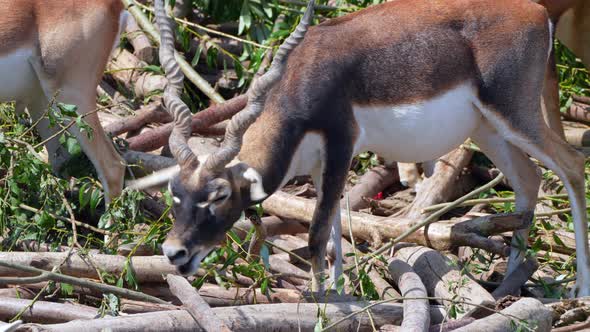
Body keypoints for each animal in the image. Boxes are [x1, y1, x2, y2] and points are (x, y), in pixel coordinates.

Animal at [141, 0, 590, 294]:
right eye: (174, 194)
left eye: (218, 196)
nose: (174, 252)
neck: (301, 78)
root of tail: (535, 10)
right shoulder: (321, 164)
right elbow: (336, 229)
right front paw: (341, 296)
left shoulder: (340, 144)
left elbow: (317, 233)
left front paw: (323, 306)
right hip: (486, 128)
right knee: (528, 179)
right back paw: (509, 284)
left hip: (514, 112)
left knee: (571, 165)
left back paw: (579, 290)